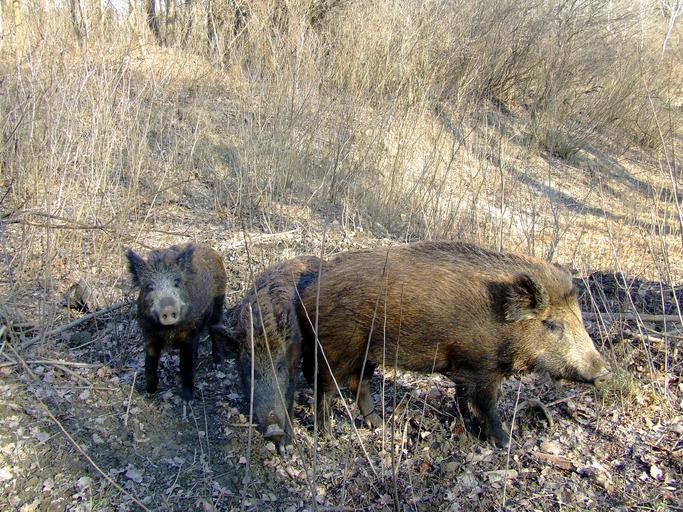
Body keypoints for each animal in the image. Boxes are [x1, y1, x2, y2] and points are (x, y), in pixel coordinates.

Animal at [126, 243, 227, 401]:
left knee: (214, 329)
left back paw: (217, 364)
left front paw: (188, 399)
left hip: (218, 302)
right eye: (150, 286)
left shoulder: (188, 334)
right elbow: (149, 365)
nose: (168, 310)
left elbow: (185, 366)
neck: (168, 330)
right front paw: (149, 394)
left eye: (176, 283)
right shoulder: (149, 334)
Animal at [226, 255, 322, 453]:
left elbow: (289, 396)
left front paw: (287, 447)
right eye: (250, 370)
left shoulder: (292, 365)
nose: (273, 430)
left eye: (279, 367)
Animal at [297, 241, 610, 446]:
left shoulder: (466, 370)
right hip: (335, 349)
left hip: (366, 354)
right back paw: (327, 436)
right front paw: (505, 442)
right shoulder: (481, 368)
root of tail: (307, 290)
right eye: (552, 324)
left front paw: (468, 426)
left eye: (578, 318)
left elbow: (463, 399)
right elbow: (487, 404)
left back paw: (380, 424)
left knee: (358, 384)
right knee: (325, 389)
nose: (604, 373)